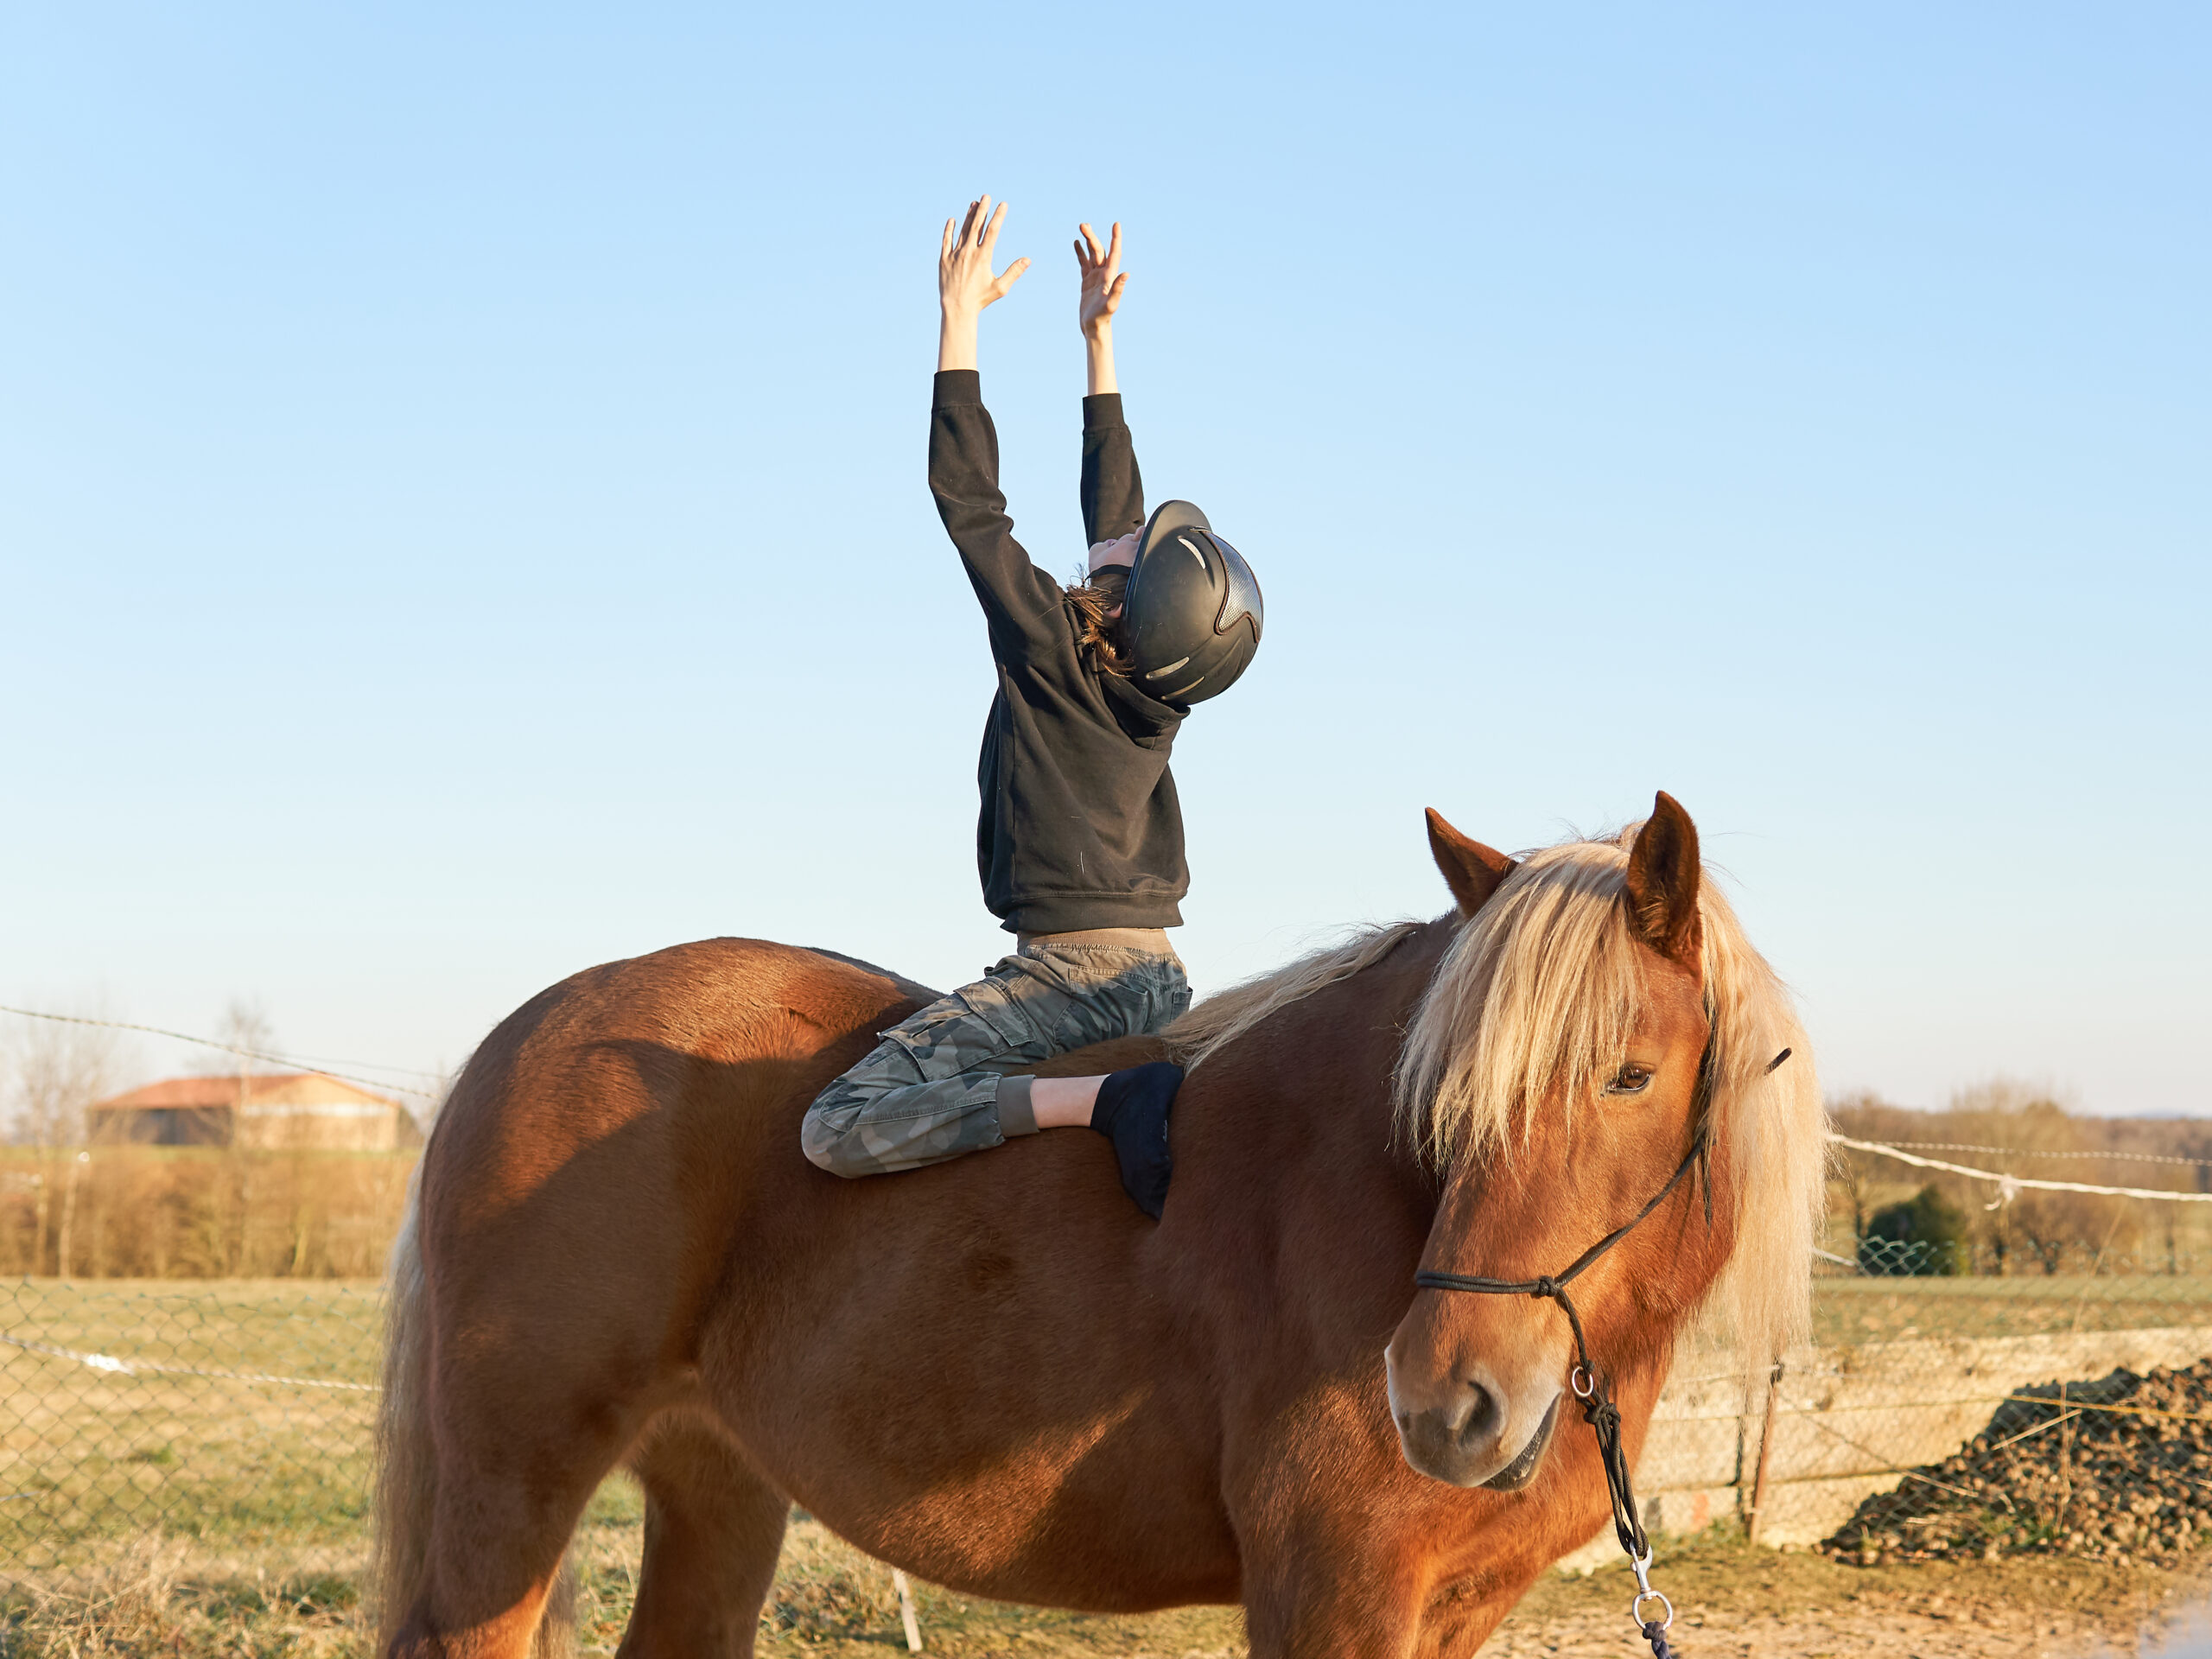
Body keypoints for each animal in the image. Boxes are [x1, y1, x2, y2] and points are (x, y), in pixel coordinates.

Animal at [372, 800, 1822, 1654]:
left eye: (1630, 1075)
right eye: (1440, 1093)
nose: (1443, 1400)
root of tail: (517, 1034)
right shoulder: (1331, 1596)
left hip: (717, 1485)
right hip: (514, 1485)